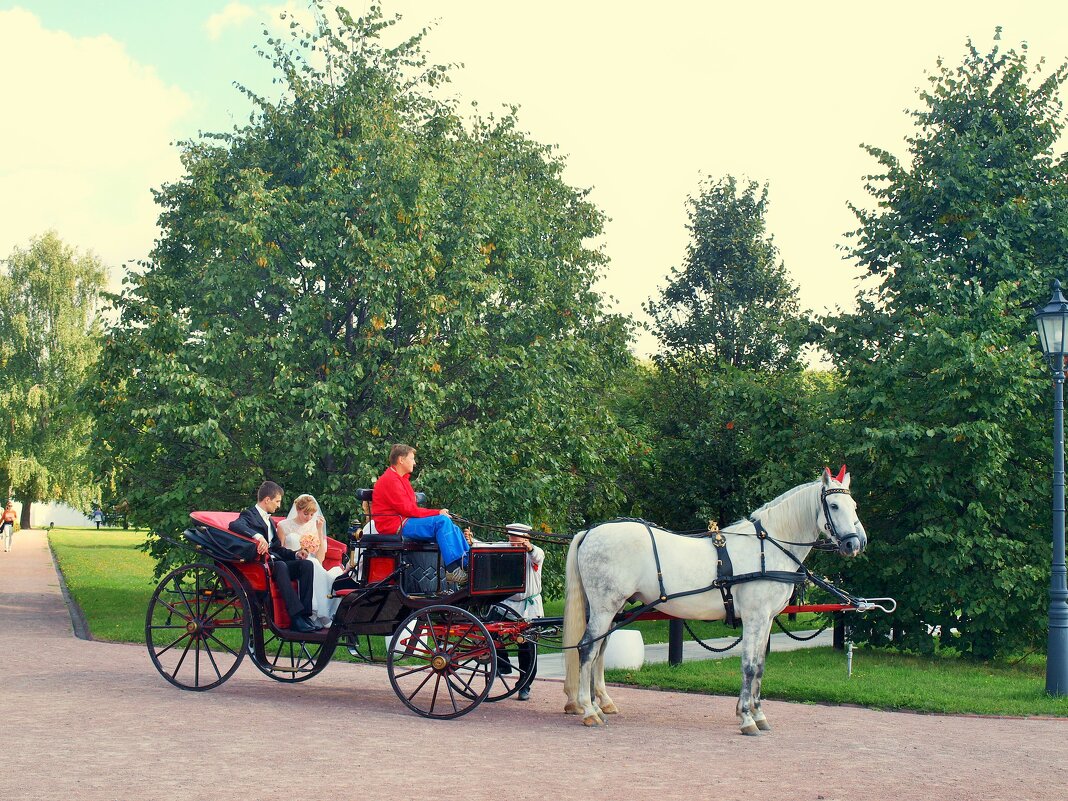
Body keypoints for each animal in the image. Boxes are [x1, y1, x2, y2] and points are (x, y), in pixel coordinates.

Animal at [563, 467, 862, 739]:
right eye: (834, 505)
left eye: (854, 505)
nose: (855, 544)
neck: (767, 548)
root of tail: (590, 532)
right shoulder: (754, 617)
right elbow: (749, 665)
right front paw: (746, 718)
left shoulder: (766, 619)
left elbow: (760, 665)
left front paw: (758, 714)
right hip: (604, 607)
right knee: (587, 648)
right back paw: (588, 710)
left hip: (614, 609)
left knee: (599, 649)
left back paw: (599, 704)